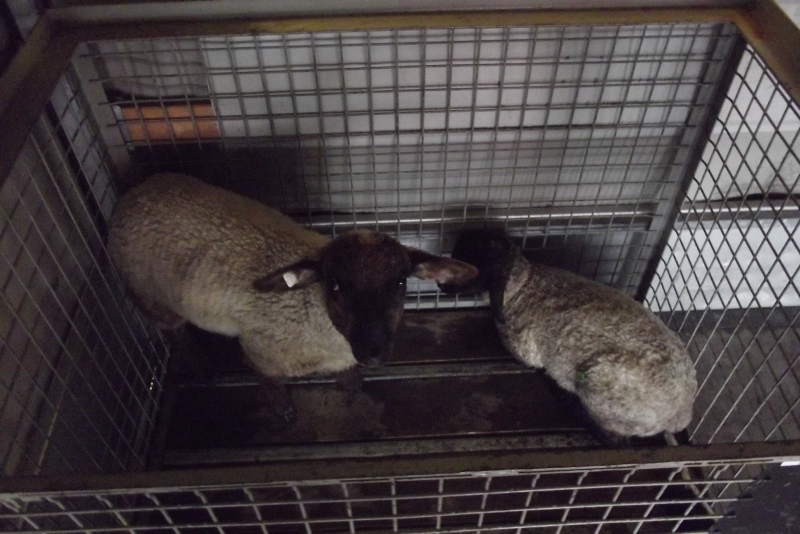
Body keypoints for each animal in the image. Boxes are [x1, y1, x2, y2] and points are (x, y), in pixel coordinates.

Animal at [107, 173, 478, 421]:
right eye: (335, 285)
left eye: (400, 283)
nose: (373, 352)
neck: (312, 312)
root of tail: (132, 193)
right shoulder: (261, 353)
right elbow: (269, 382)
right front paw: (283, 409)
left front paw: (351, 383)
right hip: (151, 296)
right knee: (173, 330)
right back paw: (202, 367)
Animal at [440, 227, 697, 441]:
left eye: (471, 266)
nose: (441, 286)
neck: (523, 285)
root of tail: (680, 416)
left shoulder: (526, 351)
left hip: (598, 388)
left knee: (613, 438)